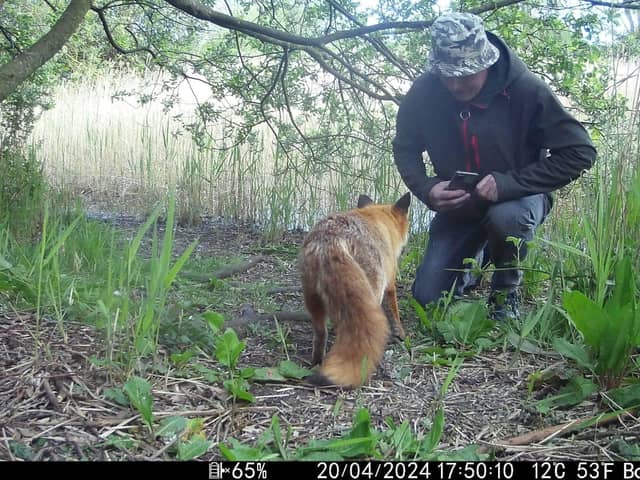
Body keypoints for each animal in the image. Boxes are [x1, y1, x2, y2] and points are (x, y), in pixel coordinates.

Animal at [298, 193, 410, 388]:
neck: (379, 221)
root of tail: (330, 240)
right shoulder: (390, 283)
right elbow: (394, 313)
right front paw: (400, 334)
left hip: (313, 299)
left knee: (321, 334)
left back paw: (317, 363)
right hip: (373, 290)